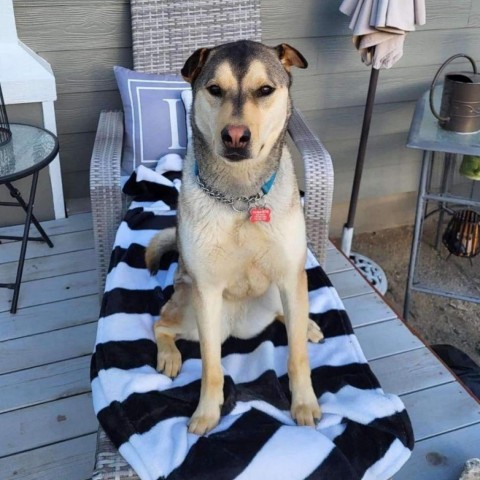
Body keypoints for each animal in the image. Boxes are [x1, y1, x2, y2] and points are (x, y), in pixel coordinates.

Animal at [145, 40, 322, 436]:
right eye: (215, 90)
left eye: (265, 90)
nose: (236, 136)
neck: (241, 197)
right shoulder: (207, 293)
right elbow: (211, 365)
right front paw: (207, 413)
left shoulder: (289, 276)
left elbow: (298, 356)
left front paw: (304, 402)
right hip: (191, 314)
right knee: (160, 323)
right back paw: (169, 356)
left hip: (277, 294)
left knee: (288, 317)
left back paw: (307, 325)